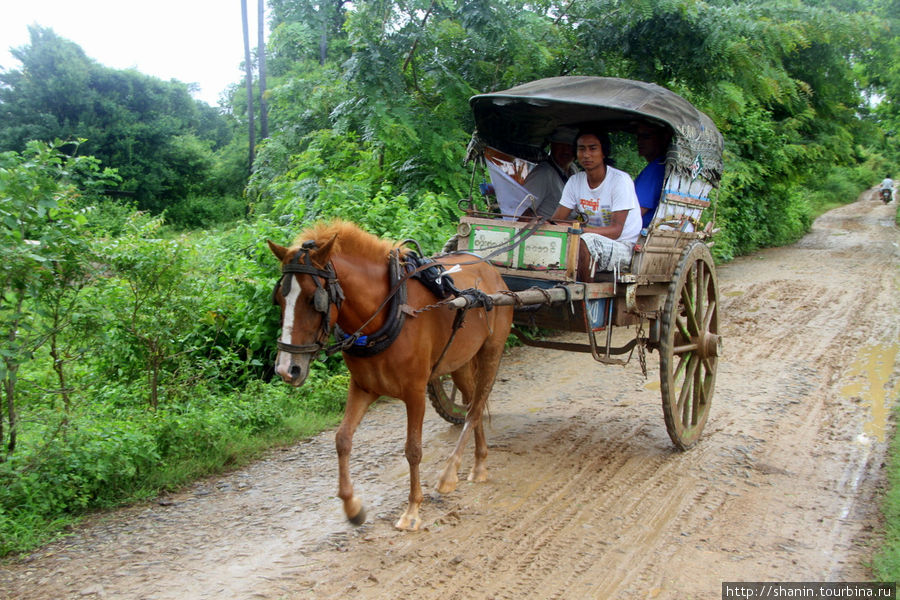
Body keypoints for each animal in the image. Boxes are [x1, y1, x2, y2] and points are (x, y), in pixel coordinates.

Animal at [268, 220, 512, 528]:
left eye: (315, 300)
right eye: (279, 298)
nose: (287, 369)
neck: (388, 311)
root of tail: (490, 269)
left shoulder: (415, 391)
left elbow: (413, 450)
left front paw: (412, 510)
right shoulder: (363, 387)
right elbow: (342, 439)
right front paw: (352, 505)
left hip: (492, 349)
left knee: (476, 407)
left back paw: (449, 473)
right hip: (460, 362)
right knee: (472, 405)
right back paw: (479, 463)